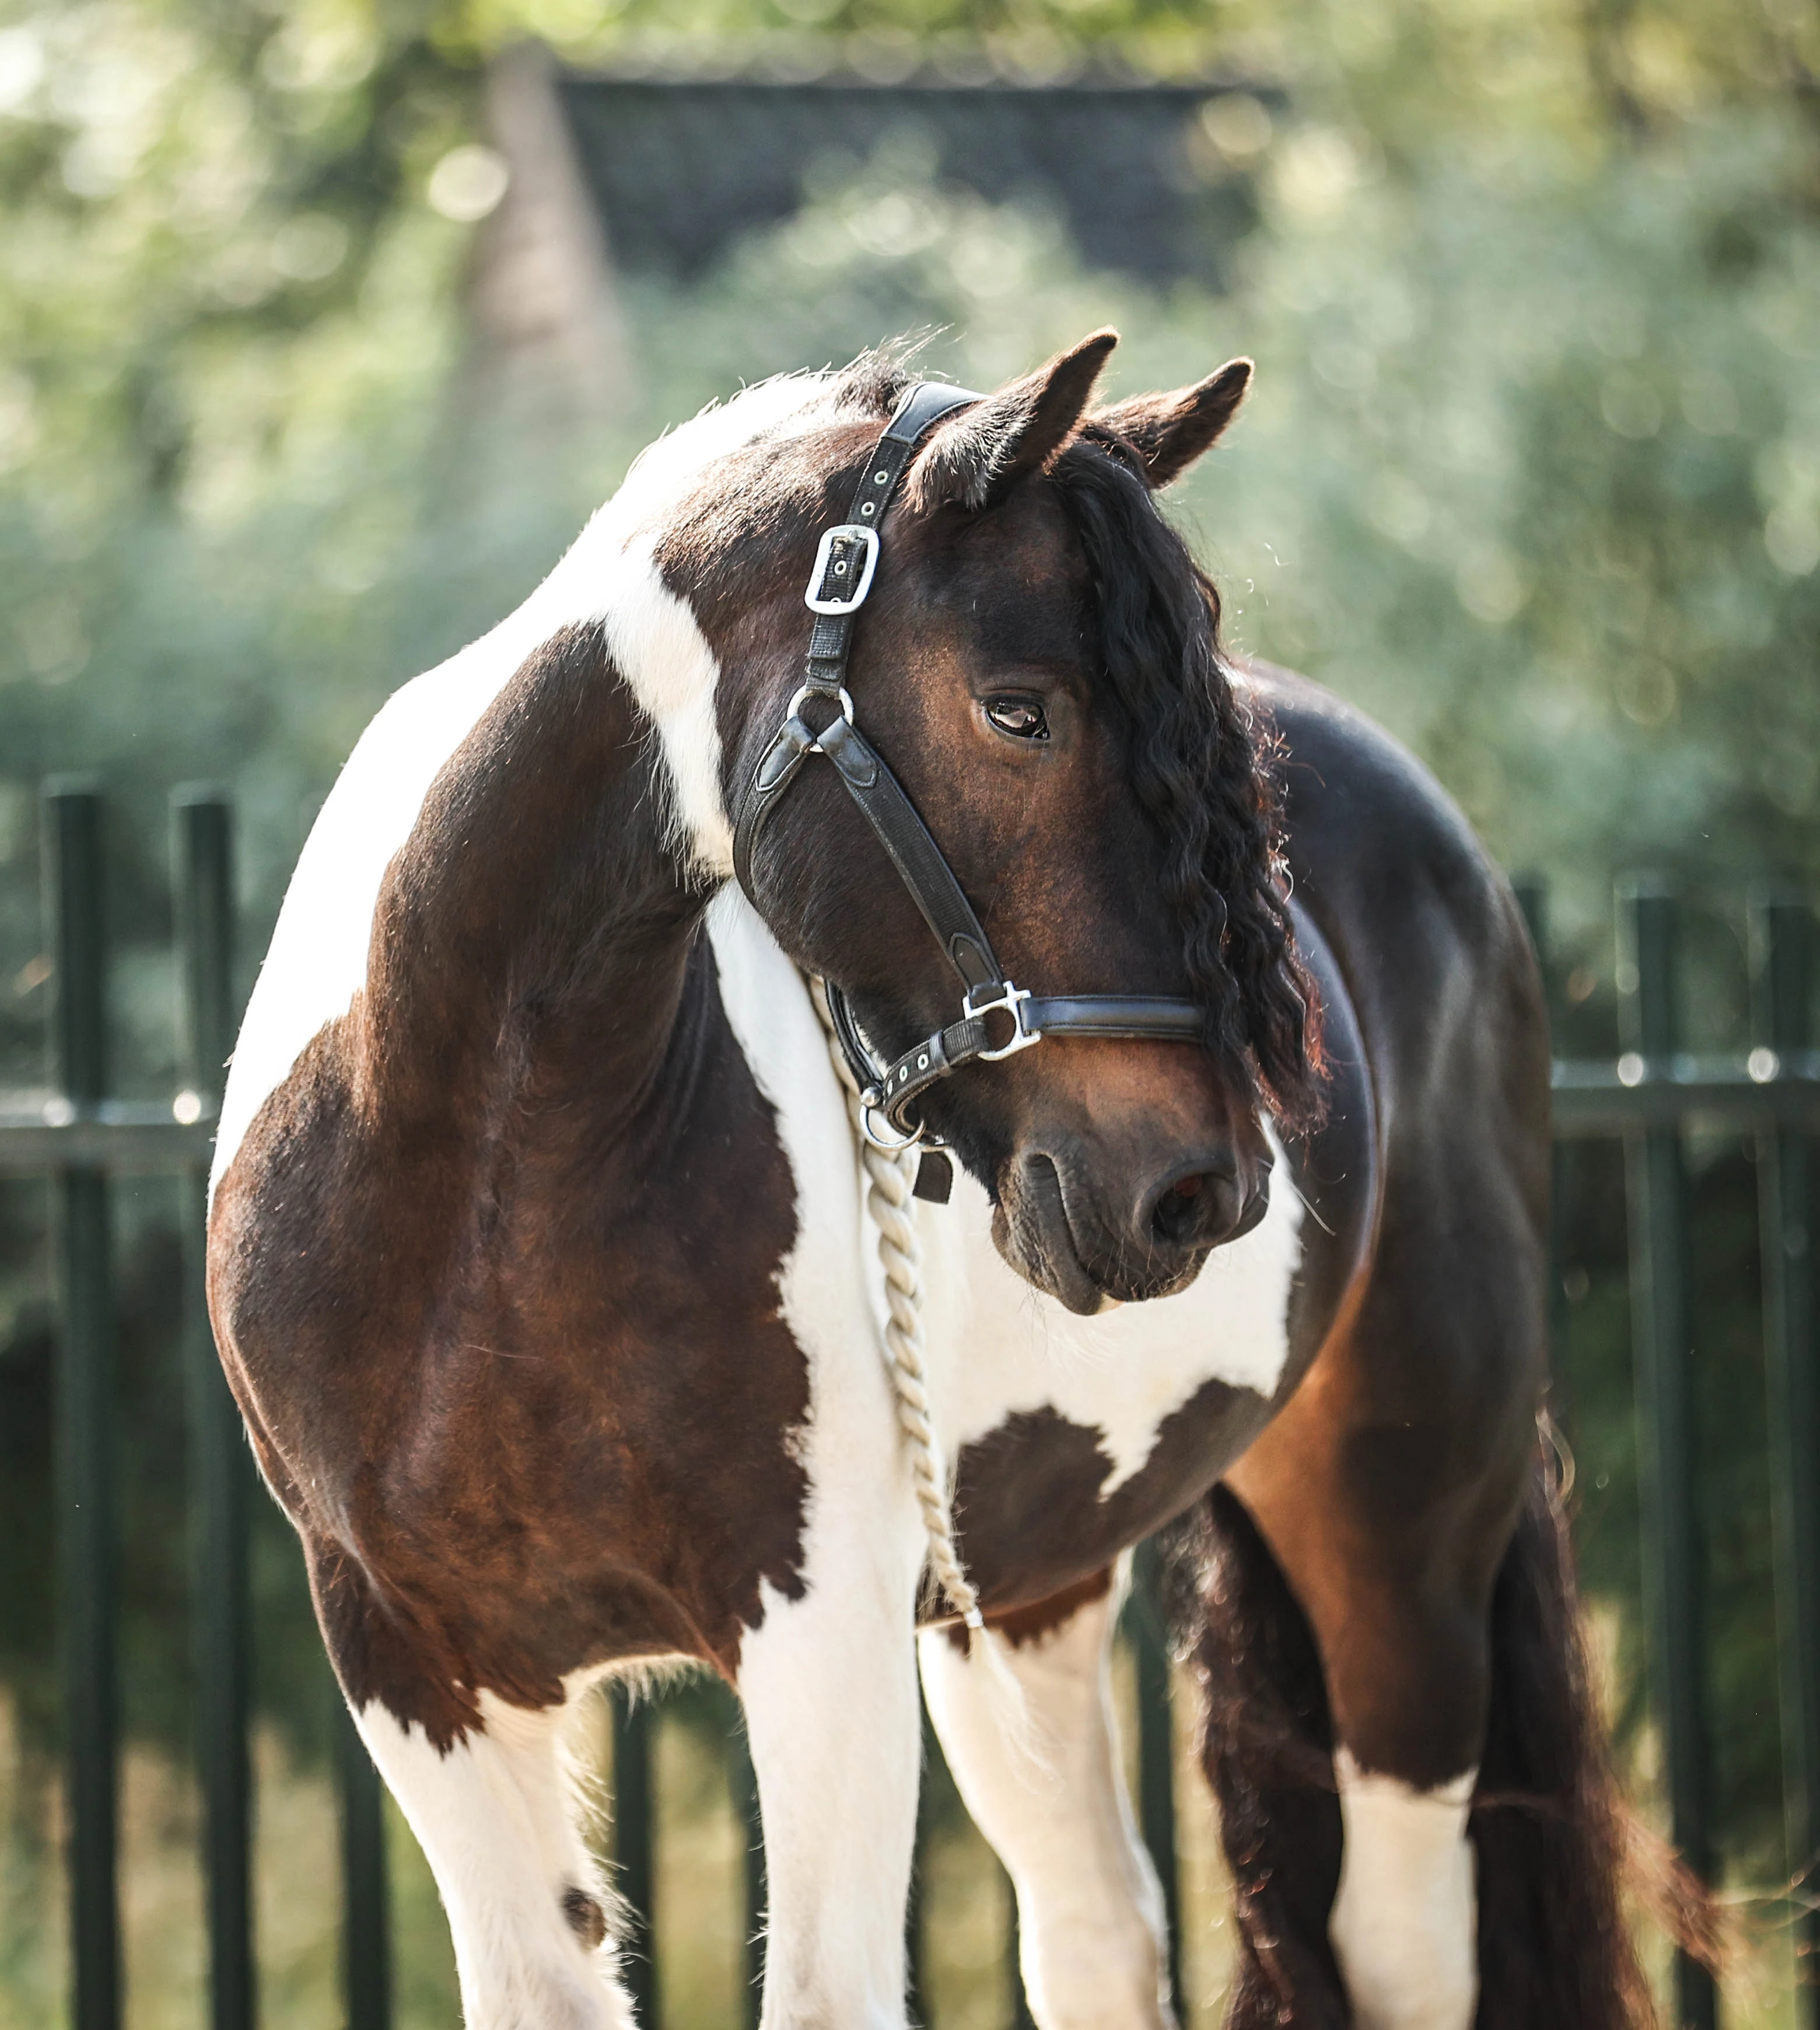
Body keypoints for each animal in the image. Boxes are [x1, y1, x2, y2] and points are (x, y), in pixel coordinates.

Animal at [206, 330, 1642, 2030]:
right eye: (1017, 711)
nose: (1198, 1193)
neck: (479, 1174)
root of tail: (1459, 867)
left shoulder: (819, 1636)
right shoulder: (413, 1667)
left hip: (1404, 1555)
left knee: (1401, 1948)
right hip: (1024, 1595)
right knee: (1097, 1934)